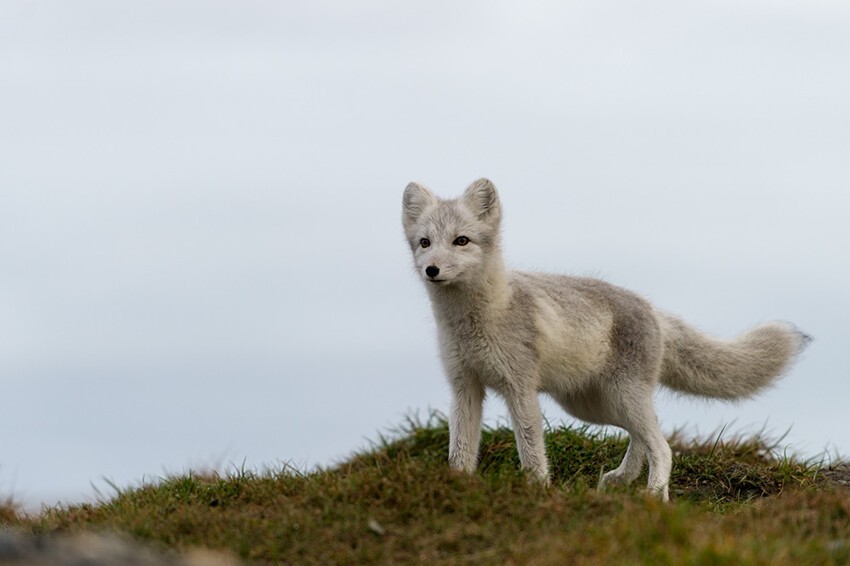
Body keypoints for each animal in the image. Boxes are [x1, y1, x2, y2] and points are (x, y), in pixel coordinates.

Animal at [402, 178, 808, 502]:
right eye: (425, 242)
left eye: (461, 241)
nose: (432, 269)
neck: (475, 321)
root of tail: (653, 309)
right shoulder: (464, 386)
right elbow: (461, 448)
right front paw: (457, 484)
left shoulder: (520, 388)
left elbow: (531, 449)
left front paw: (538, 490)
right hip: (593, 405)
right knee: (648, 433)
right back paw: (626, 480)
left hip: (617, 397)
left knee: (662, 445)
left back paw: (653, 494)